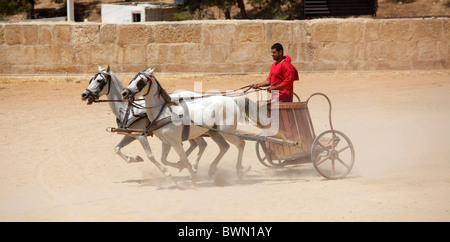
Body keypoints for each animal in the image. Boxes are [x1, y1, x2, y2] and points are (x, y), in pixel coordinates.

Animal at [81, 65, 211, 177]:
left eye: (99, 80)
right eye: (91, 80)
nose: (84, 94)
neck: (128, 110)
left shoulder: (141, 136)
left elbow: (150, 156)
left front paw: (166, 172)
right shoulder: (131, 135)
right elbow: (117, 149)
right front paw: (135, 158)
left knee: (201, 144)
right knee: (200, 144)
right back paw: (188, 165)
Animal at [122, 68, 250, 180]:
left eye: (141, 81)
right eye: (132, 79)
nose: (124, 93)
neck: (164, 112)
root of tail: (232, 100)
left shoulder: (176, 142)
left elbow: (183, 159)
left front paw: (192, 175)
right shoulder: (166, 141)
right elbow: (164, 160)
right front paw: (179, 169)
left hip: (227, 131)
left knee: (241, 144)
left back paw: (239, 170)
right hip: (214, 132)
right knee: (224, 147)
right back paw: (212, 169)